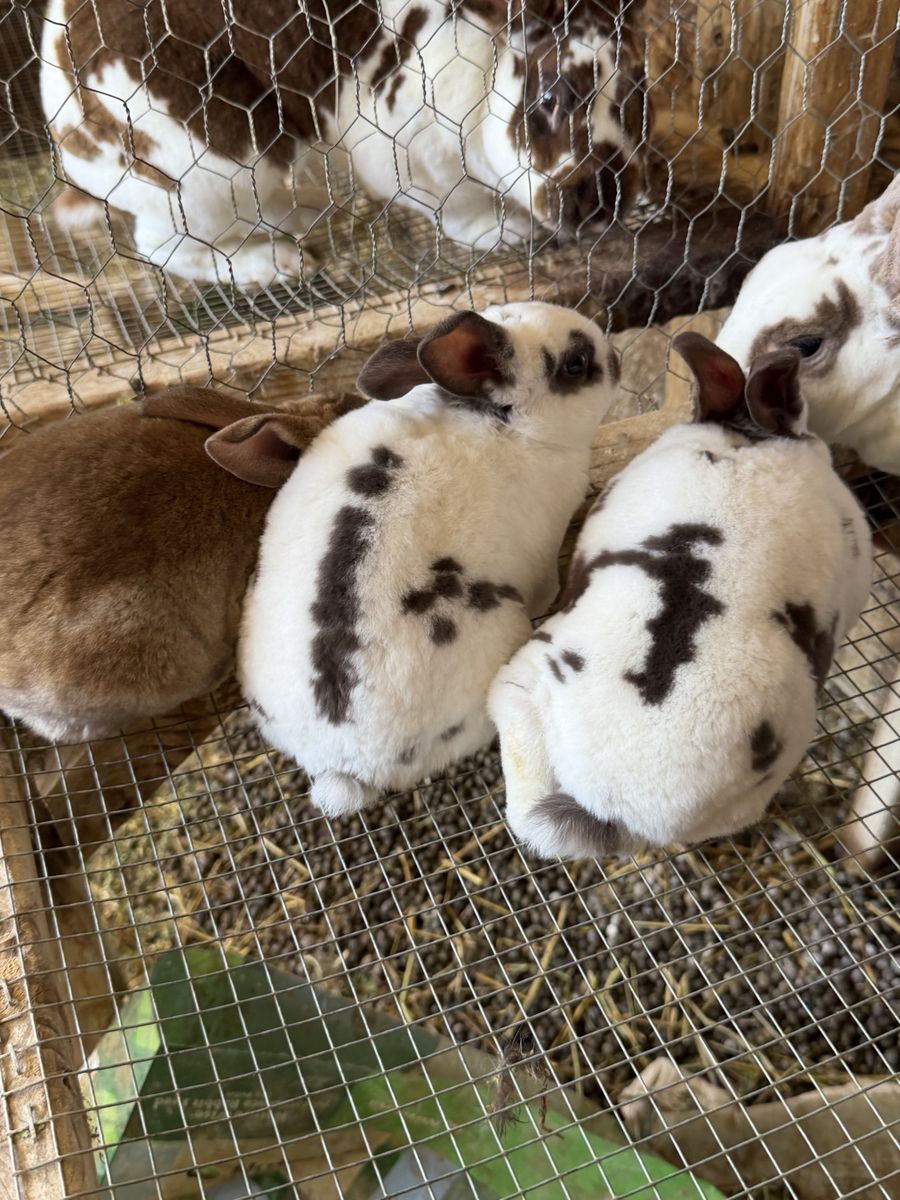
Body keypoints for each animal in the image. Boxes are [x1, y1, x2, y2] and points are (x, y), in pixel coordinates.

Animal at [39, 0, 642, 285]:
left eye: (638, 91)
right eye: (552, 97)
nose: (603, 196)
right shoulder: (403, 152)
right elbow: (457, 210)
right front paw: (505, 232)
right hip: (216, 171)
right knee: (161, 245)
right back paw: (274, 265)